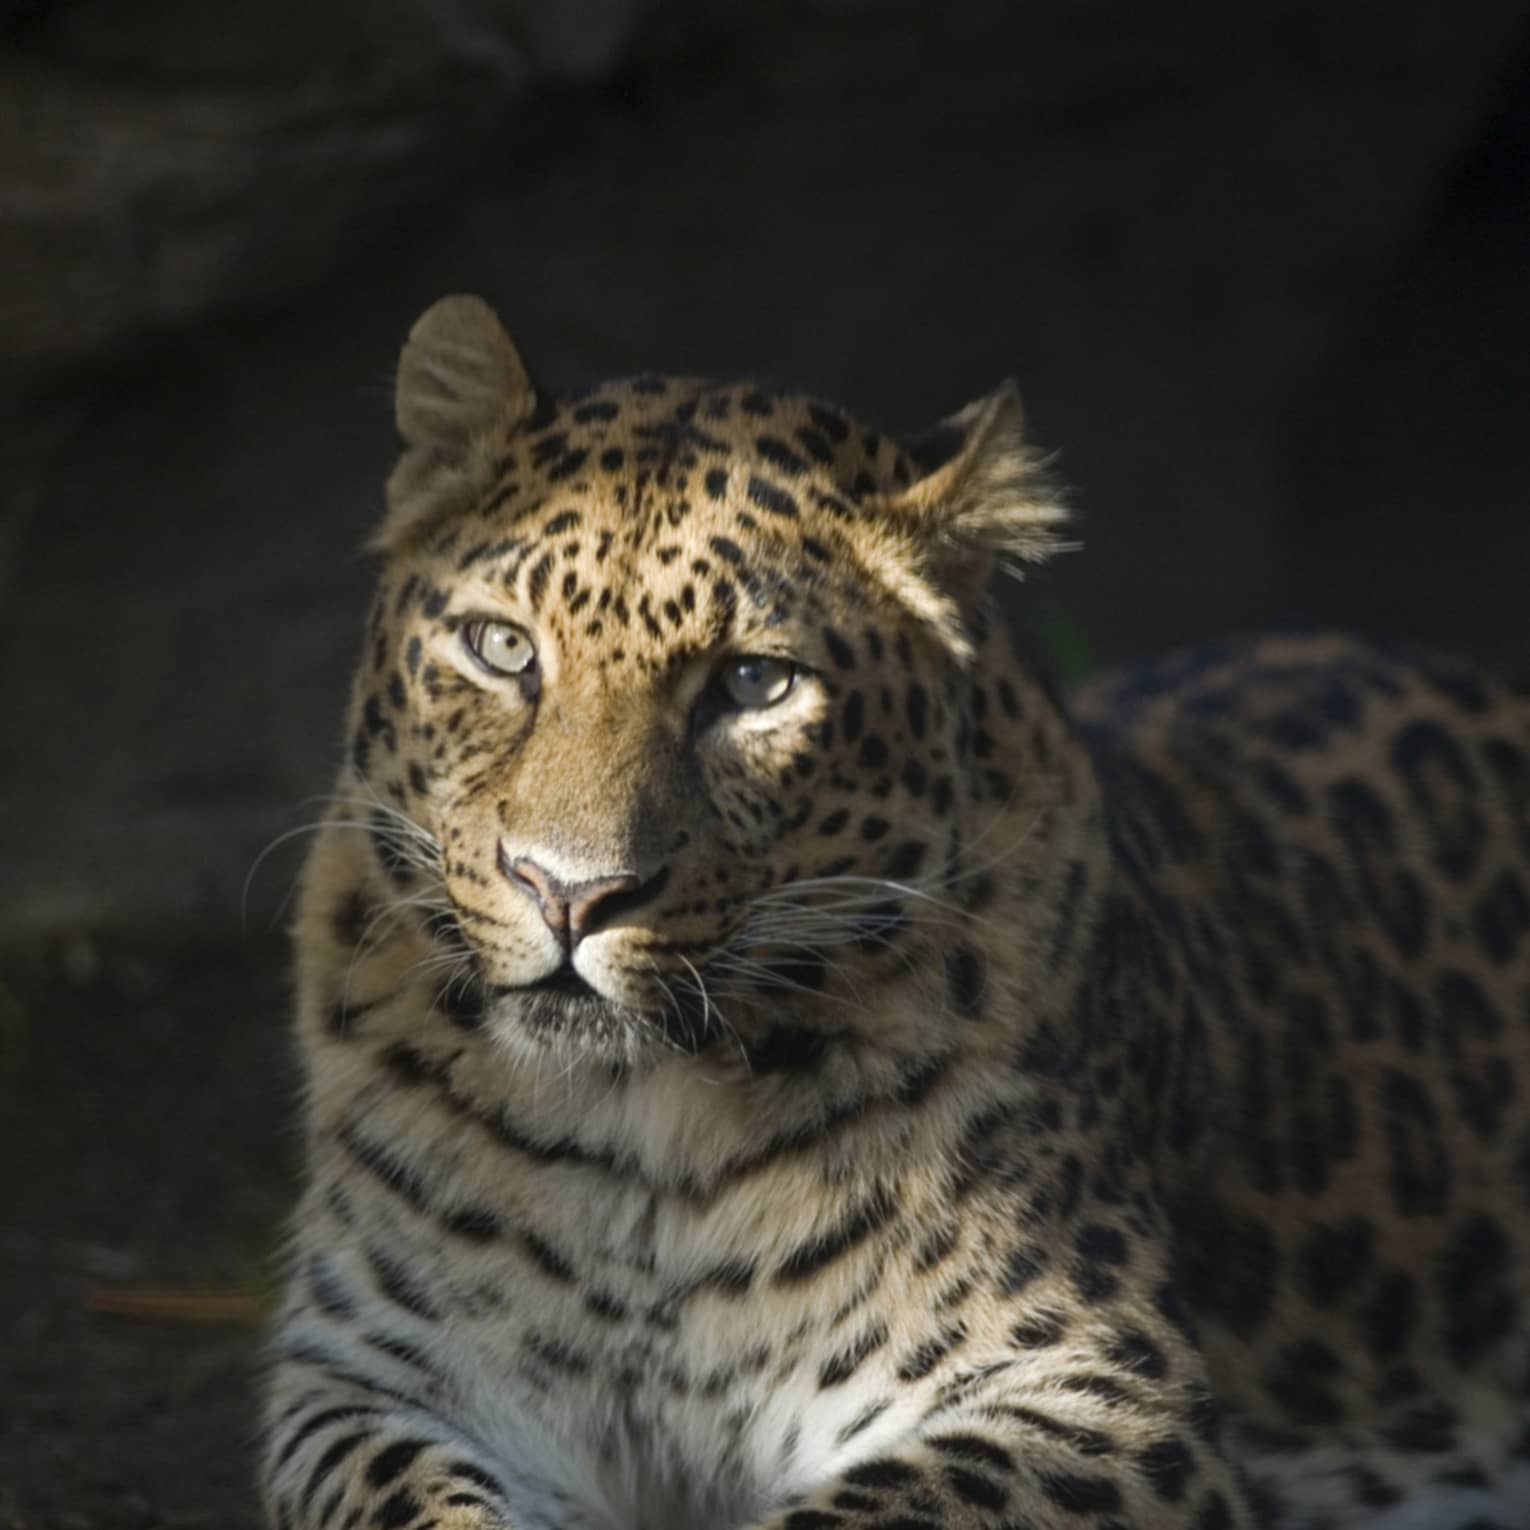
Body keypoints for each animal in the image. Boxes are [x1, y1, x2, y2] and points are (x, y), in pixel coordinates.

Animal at [259, 294, 1530, 1530]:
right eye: (501, 648)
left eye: (753, 683)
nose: (569, 891)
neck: (634, 1152)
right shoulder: (366, 1378)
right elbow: (409, 1501)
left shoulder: (1100, 1392)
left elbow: (868, 1509)